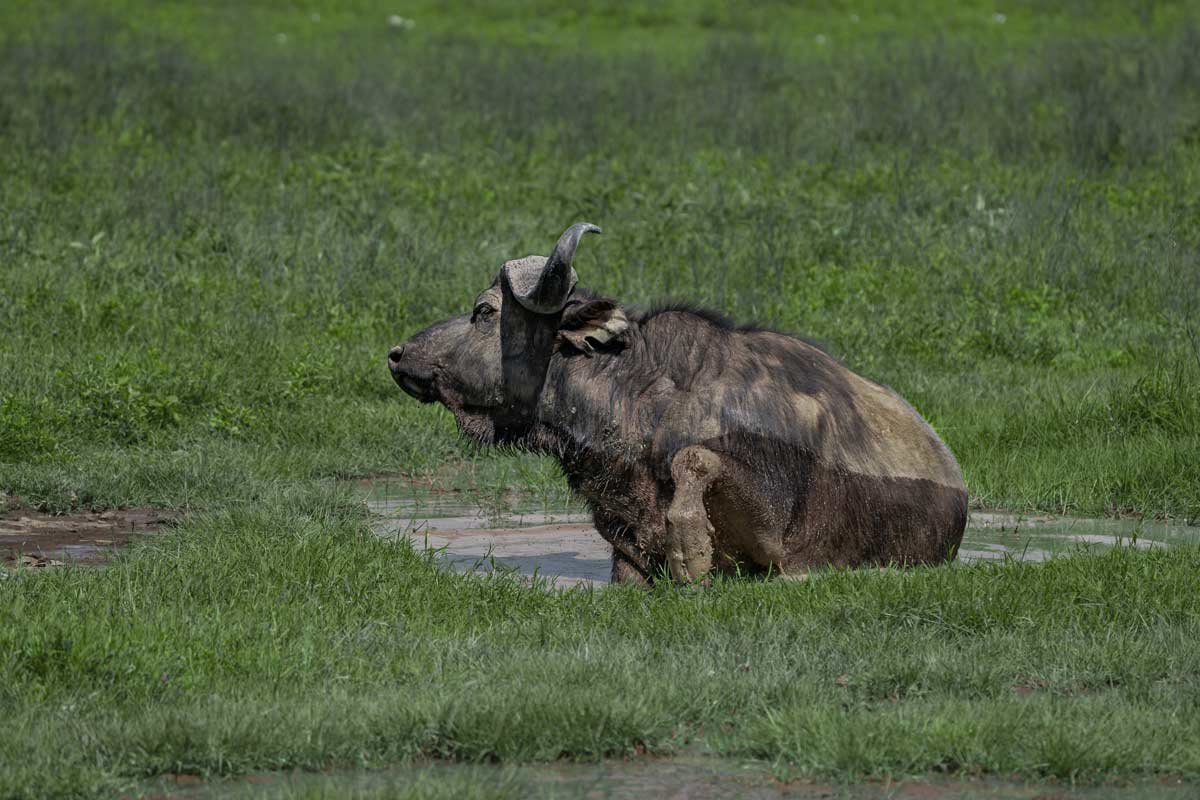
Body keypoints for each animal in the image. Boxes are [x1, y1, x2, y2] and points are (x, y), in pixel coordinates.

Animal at [388, 223, 968, 584]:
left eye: (483, 311)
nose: (398, 355)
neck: (644, 407)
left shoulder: (778, 540)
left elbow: (694, 458)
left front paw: (691, 549)